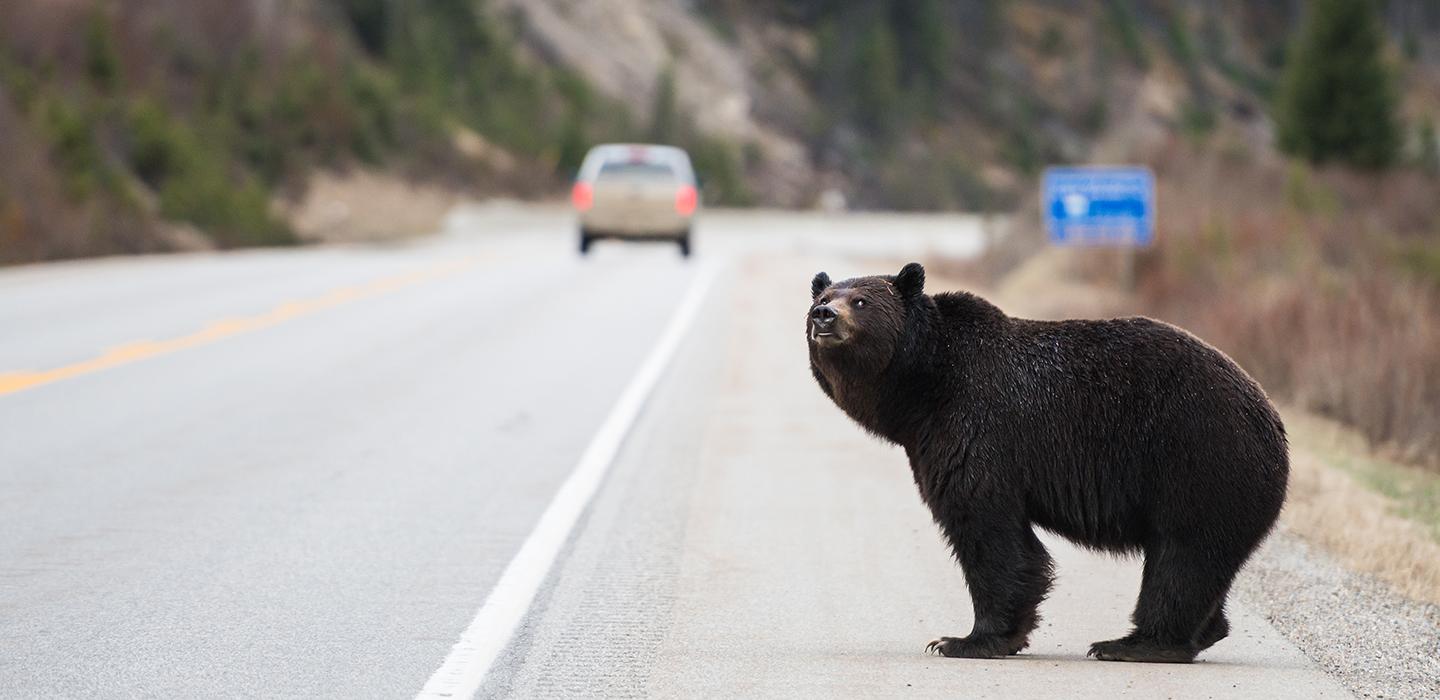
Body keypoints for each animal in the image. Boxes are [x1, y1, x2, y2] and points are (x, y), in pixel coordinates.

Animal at [806, 262, 1288, 663]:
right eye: (822, 297)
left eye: (861, 300)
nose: (824, 316)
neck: (923, 386)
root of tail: (1271, 418)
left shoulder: (976, 425)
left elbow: (986, 527)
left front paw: (964, 639)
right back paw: (1196, 634)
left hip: (1199, 462)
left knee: (1181, 557)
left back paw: (1131, 644)